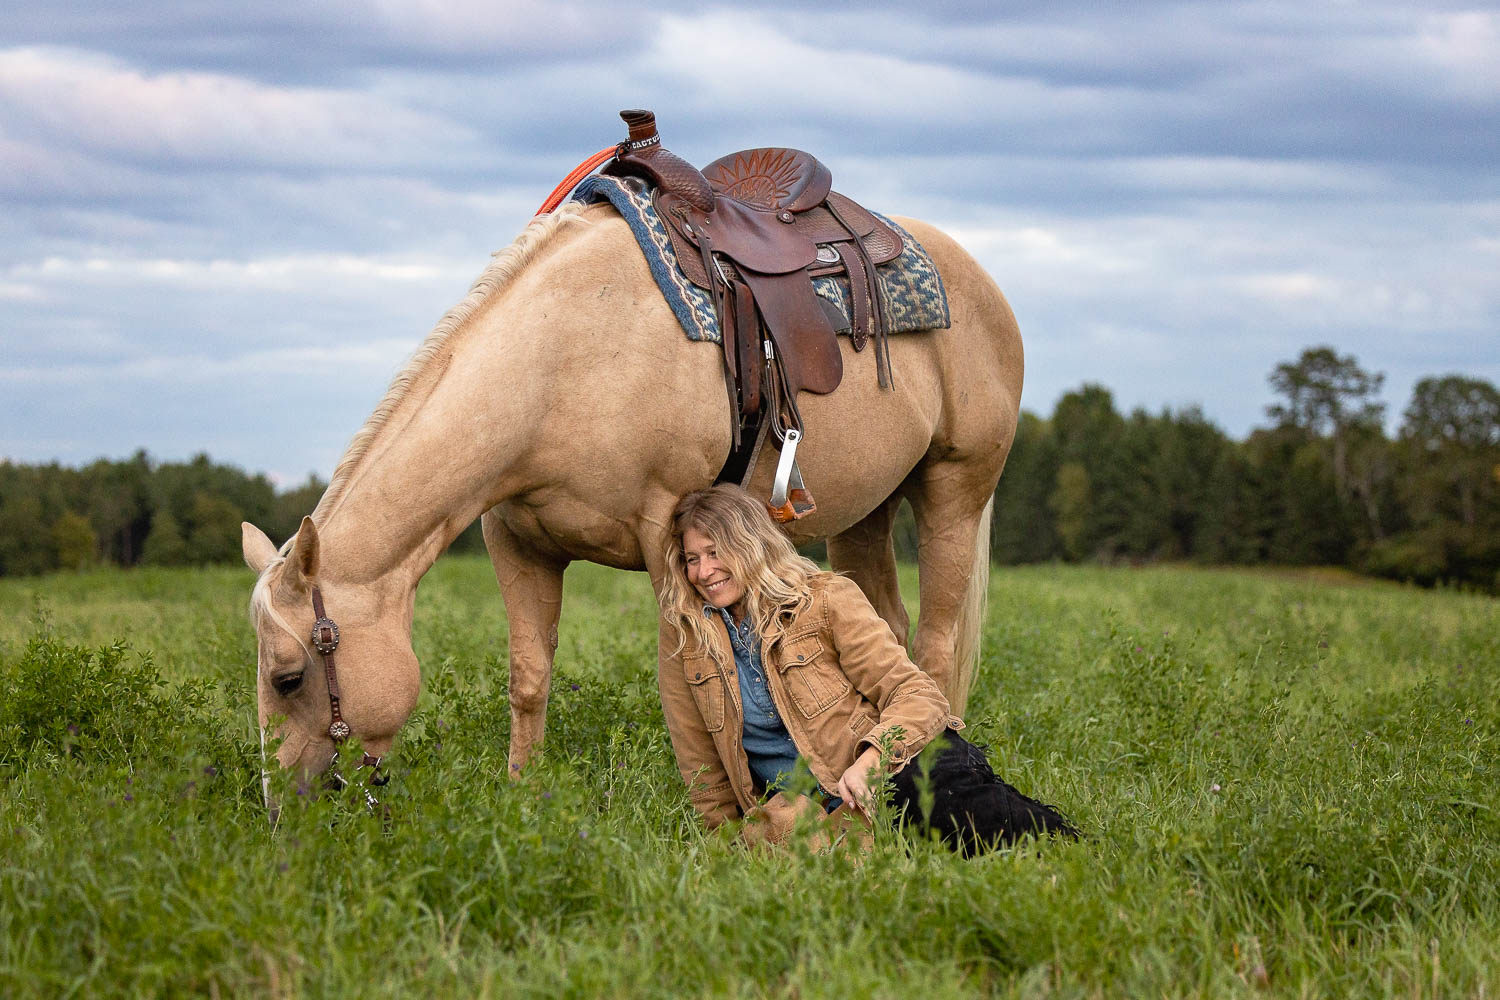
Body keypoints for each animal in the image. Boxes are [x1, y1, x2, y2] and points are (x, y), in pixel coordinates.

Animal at [241, 198, 1023, 805]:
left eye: (288, 678)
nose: (283, 808)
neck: (560, 361)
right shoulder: (515, 544)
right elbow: (529, 678)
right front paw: (522, 791)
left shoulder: (665, 532)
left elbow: (687, 674)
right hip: (864, 514)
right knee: (887, 626)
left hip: (954, 491)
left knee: (936, 643)